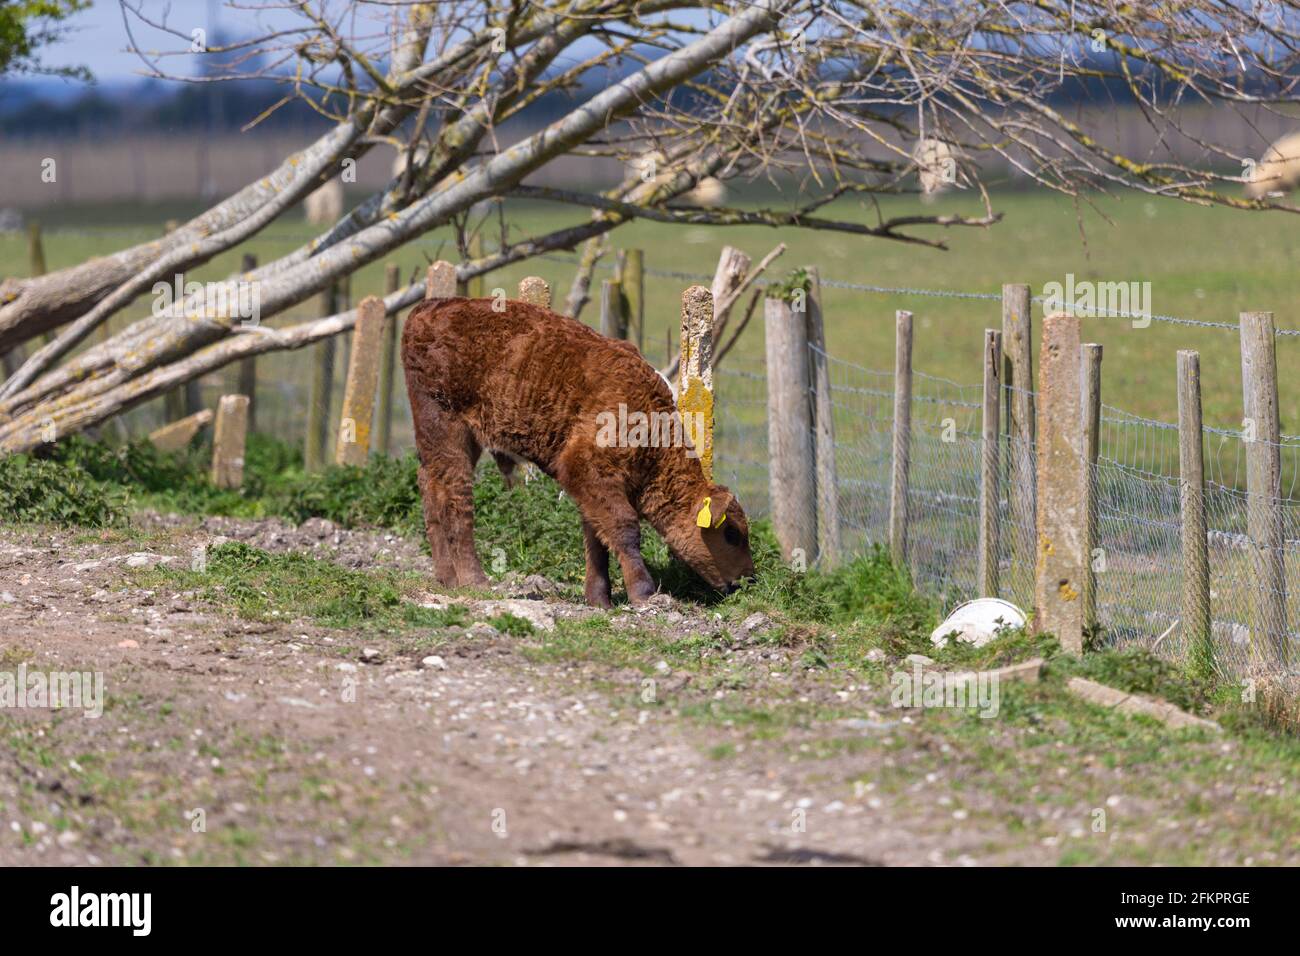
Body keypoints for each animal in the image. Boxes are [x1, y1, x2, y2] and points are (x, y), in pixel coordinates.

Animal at [401, 296, 756, 607]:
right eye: (731, 533)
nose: (748, 580)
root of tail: (428, 308)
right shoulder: (587, 470)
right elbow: (625, 529)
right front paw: (644, 594)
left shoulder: (592, 486)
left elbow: (597, 537)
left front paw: (599, 599)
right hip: (447, 427)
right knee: (456, 497)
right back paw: (475, 581)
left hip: (451, 440)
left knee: (430, 486)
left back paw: (446, 577)